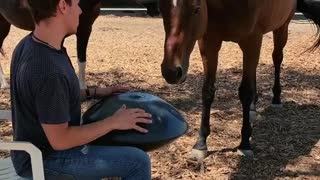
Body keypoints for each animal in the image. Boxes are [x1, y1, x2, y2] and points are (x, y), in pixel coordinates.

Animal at [159, 0, 320, 160]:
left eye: (196, 9)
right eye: (162, 9)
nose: (171, 72)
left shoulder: (251, 41)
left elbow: (245, 92)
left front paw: (245, 144)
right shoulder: (209, 43)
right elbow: (207, 92)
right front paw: (200, 143)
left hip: (282, 27)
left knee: (277, 58)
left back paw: (276, 99)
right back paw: (253, 108)